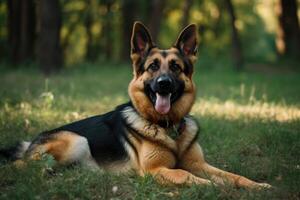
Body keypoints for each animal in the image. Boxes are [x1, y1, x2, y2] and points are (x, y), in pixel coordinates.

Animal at [0, 21, 270, 189]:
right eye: (152, 67)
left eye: (175, 67)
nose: (163, 84)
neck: (167, 127)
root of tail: (32, 141)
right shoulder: (156, 170)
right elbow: (185, 174)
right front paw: (211, 187)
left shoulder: (199, 164)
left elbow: (232, 175)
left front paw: (257, 185)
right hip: (77, 141)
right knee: (19, 164)